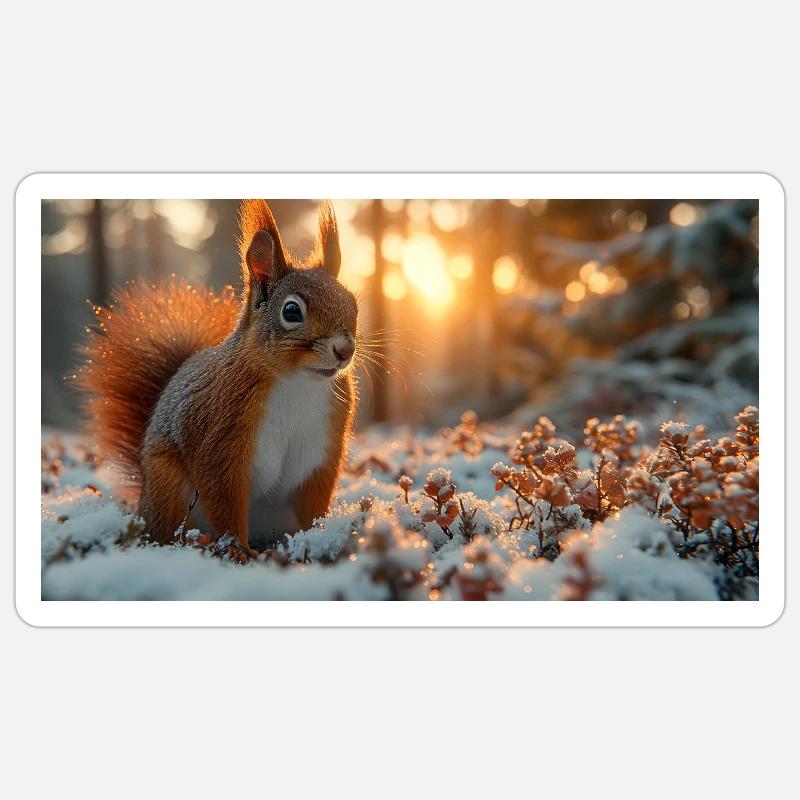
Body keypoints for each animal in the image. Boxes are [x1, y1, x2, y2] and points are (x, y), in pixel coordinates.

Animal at [77, 199, 358, 549]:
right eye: (291, 311)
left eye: (353, 302)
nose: (345, 349)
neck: (299, 383)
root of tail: (144, 504)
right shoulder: (219, 433)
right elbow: (223, 496)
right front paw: (237, 550)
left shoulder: (320, 452)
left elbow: (314, 499)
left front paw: (317, 536)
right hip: (169, 488)